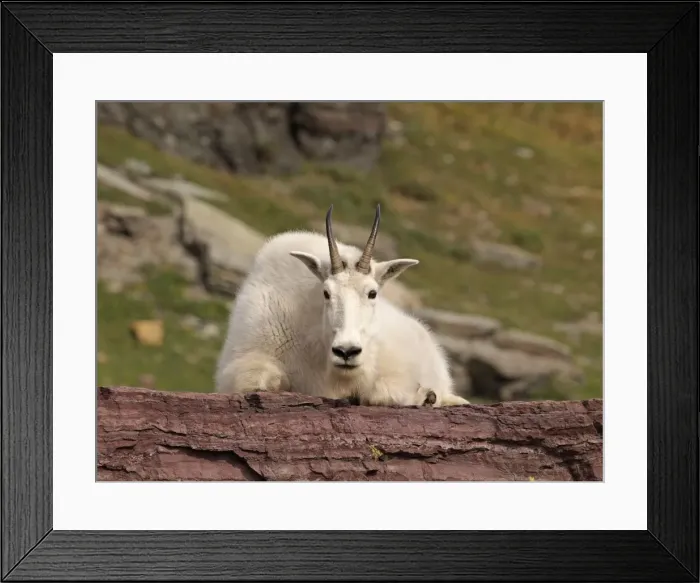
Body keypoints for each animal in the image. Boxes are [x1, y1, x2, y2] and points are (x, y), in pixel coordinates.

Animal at [214, 204, 470, 407]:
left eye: (372, 293)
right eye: (326, 293)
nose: (346, 351)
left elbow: (382, 393)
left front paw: (426, 397)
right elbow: (259, 380)